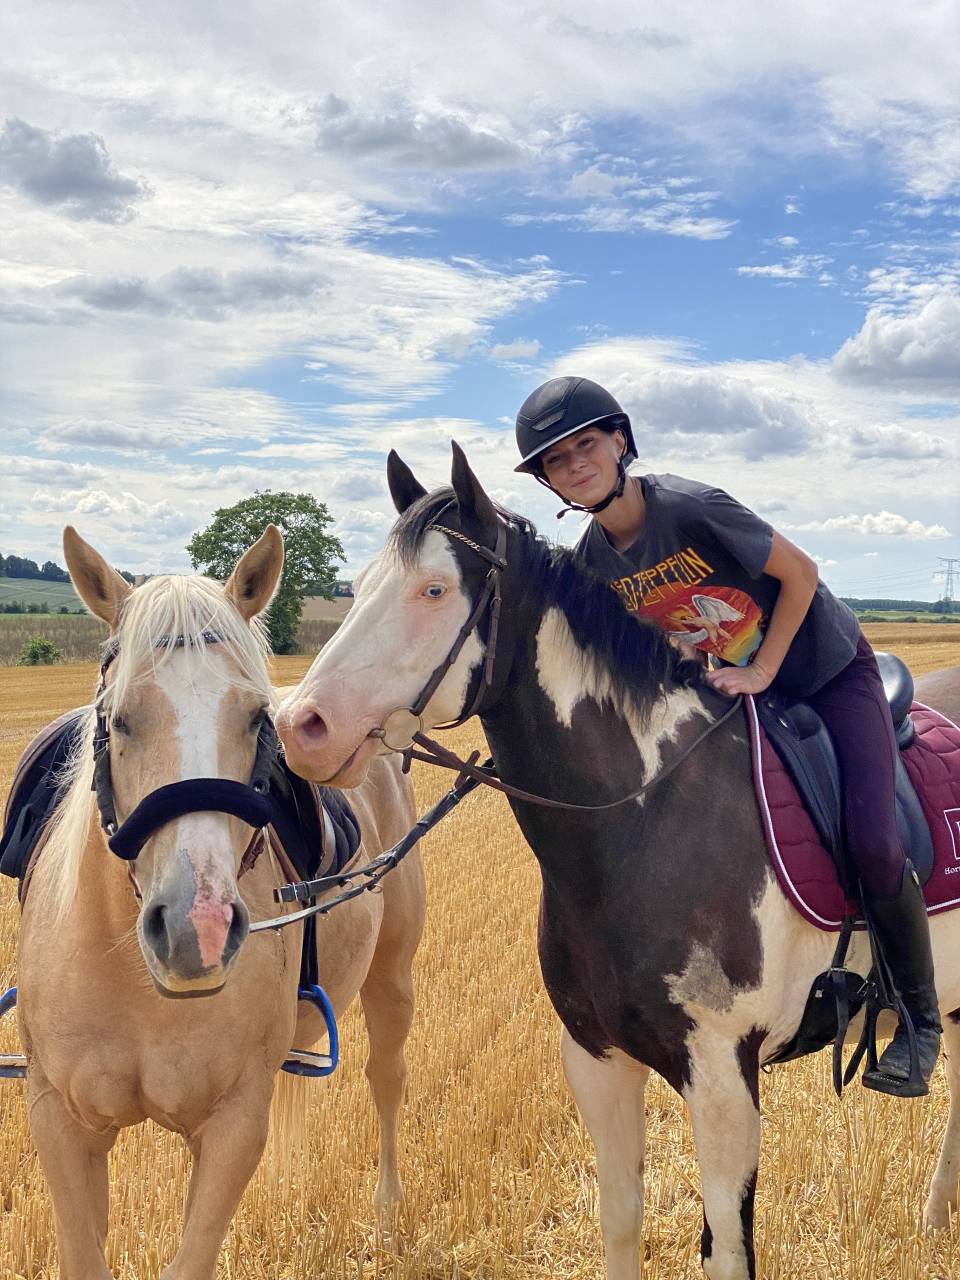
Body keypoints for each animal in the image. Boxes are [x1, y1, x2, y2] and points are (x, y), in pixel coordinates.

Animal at [14, 525, 425, 1280]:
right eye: (119, 719)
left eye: (256, 718)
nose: (197, 929)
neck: (134, 984)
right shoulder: (60, 1121)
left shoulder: (234, 1125)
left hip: (392, 978)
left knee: (387, 1078)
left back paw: (386, 1215)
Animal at [274, 443, 960, 1280]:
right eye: (362, 582)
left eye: (434, 589)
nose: (299, 726)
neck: (647, 822)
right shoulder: (596, 1060)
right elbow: (621, 1220)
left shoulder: (723, 1080)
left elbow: (727, 1251)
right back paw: (934, 1220)